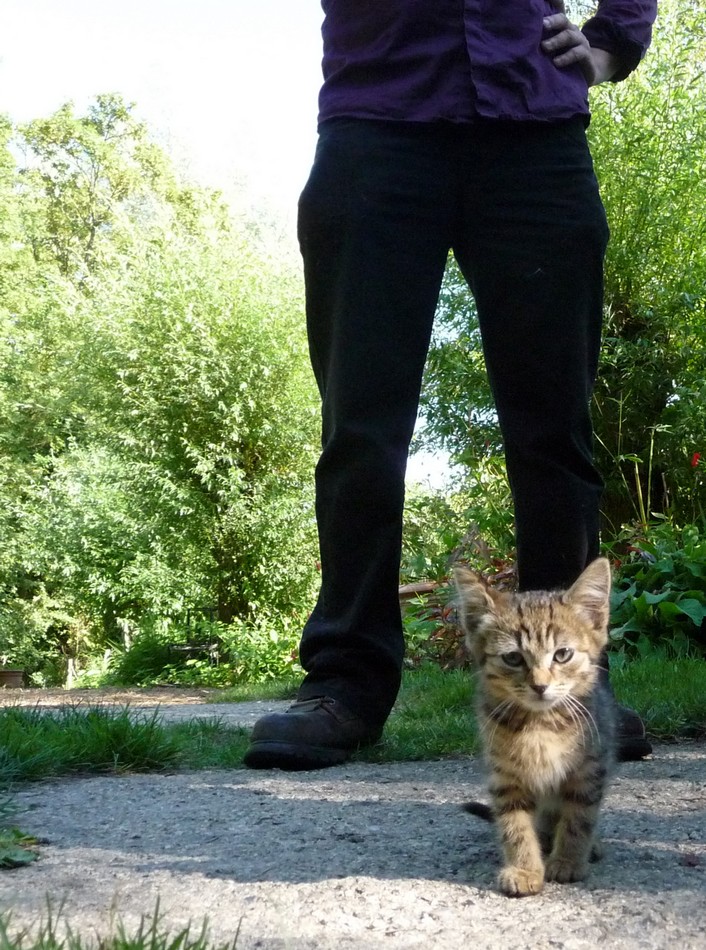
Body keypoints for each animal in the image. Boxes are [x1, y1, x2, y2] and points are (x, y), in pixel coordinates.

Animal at [454, 556, 612, 900]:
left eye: (562, 654)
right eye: (513, 658)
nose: (540, 686)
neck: (541, 724)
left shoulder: (589, 769)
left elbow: (579, 817)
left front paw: (568, 860)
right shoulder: (505, 777)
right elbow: (514, 826)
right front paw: (525, 868)